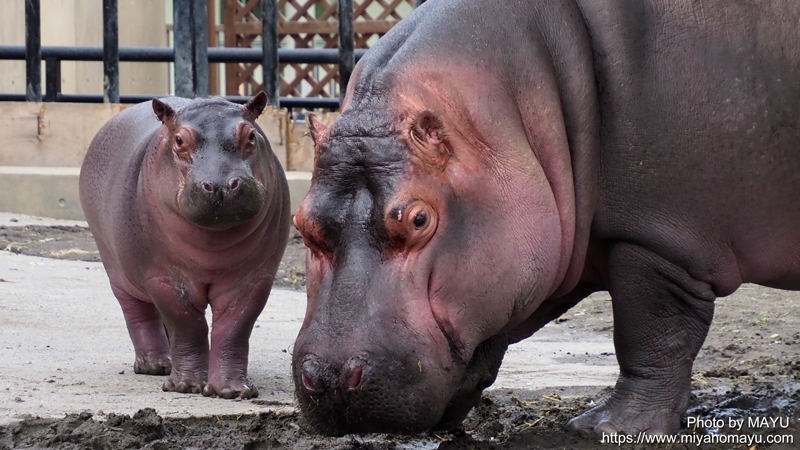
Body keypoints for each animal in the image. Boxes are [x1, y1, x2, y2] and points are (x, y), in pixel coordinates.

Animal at [78, 93, 290, 400]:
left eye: (251, 135)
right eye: (179, 140)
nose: (221, 185)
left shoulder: (253, 280)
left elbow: (235, 327)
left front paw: (232, 391)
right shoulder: (162, 278)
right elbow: (186, 325)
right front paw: (185, 387)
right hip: (117, 269)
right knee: (138, 315)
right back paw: (155, 366)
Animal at [290, 0, 800, 438]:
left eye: (418, 219)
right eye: (299, 222)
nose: (330, 378)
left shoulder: (659, 237)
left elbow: (652, 333)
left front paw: (603, 428)